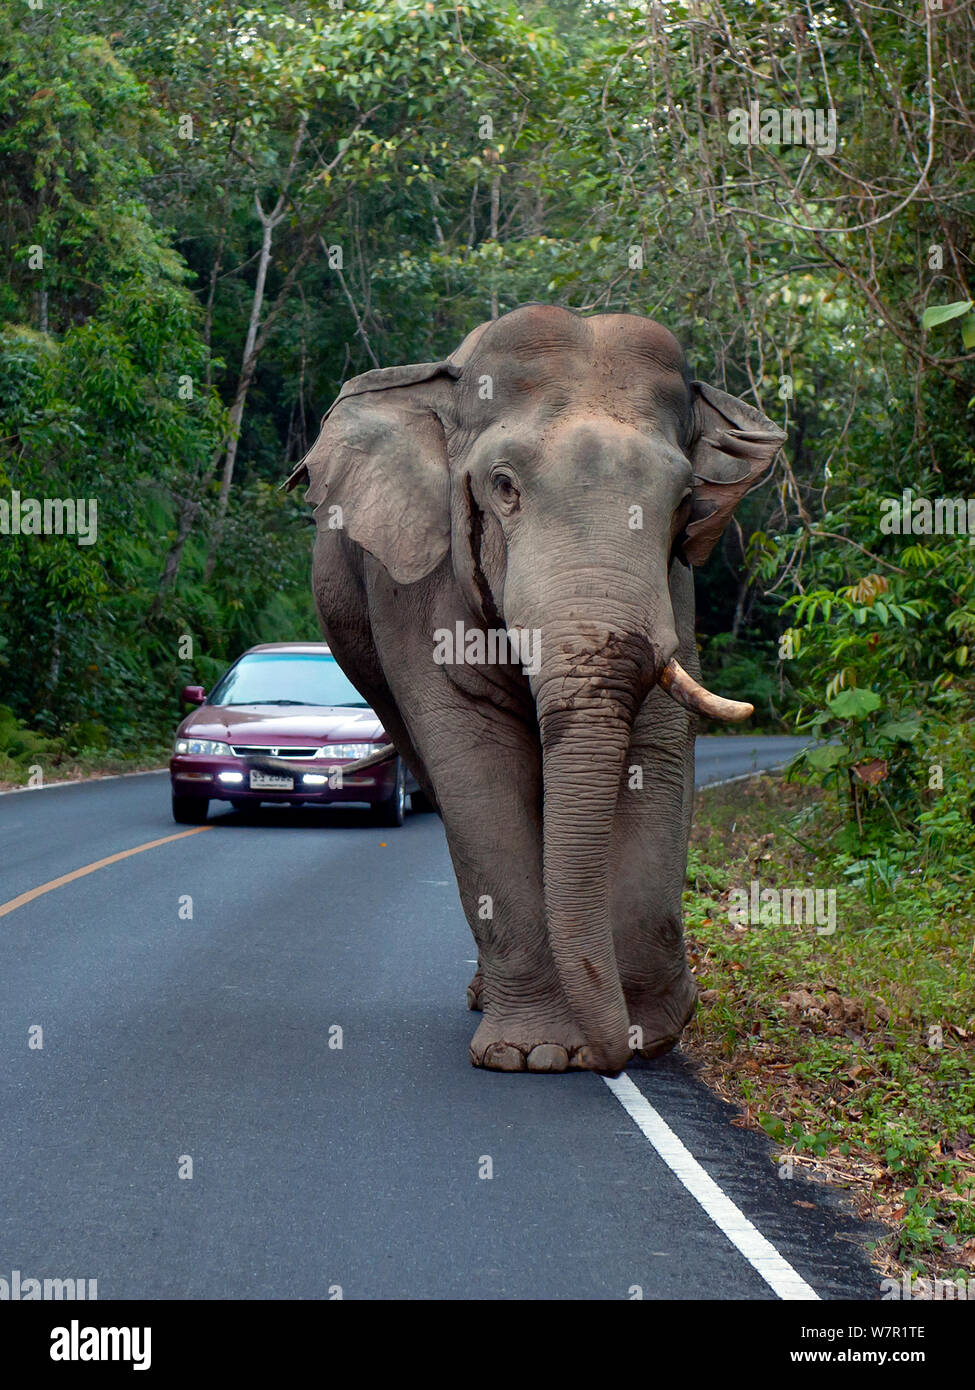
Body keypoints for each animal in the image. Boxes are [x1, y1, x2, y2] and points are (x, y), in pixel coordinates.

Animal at [283, 307, 784, 1073]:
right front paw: (536, 1054)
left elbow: (656, 748)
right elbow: (475, 764)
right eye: (503, 486)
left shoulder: (675, 582)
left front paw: (649, 1033)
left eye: (683, 503)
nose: (611, 1056)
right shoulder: (416, 583)